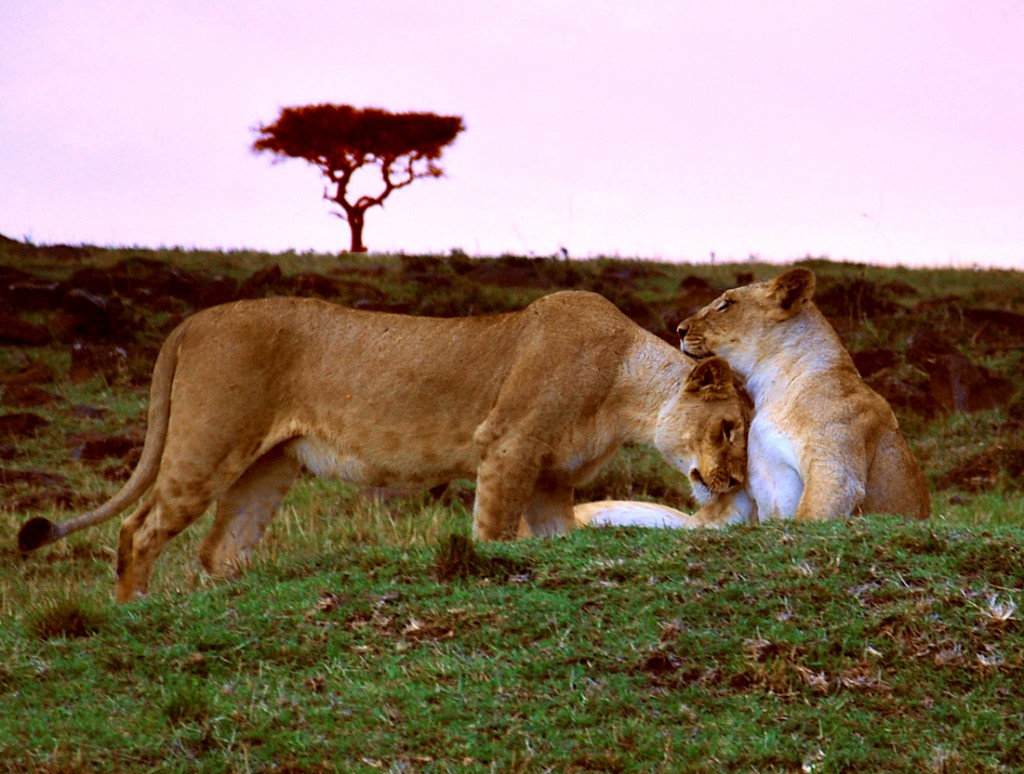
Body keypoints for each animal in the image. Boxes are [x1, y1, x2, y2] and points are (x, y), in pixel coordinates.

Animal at [19, 292, 749, 602]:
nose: (737, 484)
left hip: (266, 466)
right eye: (729, 428)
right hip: (208, 442)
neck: (624, 385)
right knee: (140, 529)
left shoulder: (549, 480)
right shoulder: (508, 447)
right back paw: (133, 610)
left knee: (221, 549)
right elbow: (491, 533)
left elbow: (553, 537)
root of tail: (191, 322)